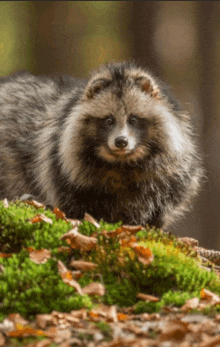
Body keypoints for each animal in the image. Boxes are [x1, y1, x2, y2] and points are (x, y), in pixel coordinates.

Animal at [0, 62, 203, 230]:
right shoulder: (63, 166)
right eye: (109, 120)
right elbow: (77, 203)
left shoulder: (170, 174)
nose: (121, 142)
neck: (122, 163)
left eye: (133, 119)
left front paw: (151, 226)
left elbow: (162, 203)